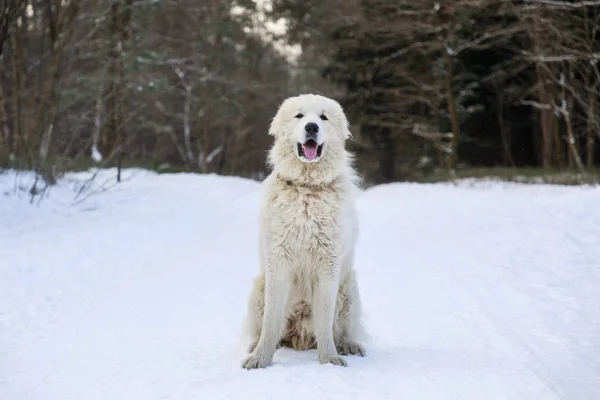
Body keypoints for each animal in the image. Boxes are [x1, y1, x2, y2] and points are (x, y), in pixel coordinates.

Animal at [240, 94, 366, 368]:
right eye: (299, 116)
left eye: (323, 117)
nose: (311, 127)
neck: (307, 188)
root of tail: (300, 336)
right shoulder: (277, 261)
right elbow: (271, 321)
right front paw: (260, 358)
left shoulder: (329, 265)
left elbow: (325, 321)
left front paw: (329, 358)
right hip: (258, 288)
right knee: (268, 329)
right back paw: (256, 346)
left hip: (349, 287)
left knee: (342, 329)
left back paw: (349, 345)